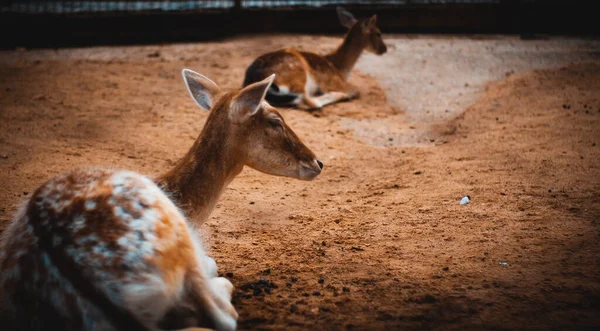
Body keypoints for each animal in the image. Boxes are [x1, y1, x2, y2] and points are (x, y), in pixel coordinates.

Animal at [241, 6, 386, 111]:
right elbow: (356, 91)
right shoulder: (332, 82)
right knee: (308, 101)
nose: (384, 49)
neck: (339, 68)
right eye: (378, 33)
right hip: (298, 76)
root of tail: (253, 77)